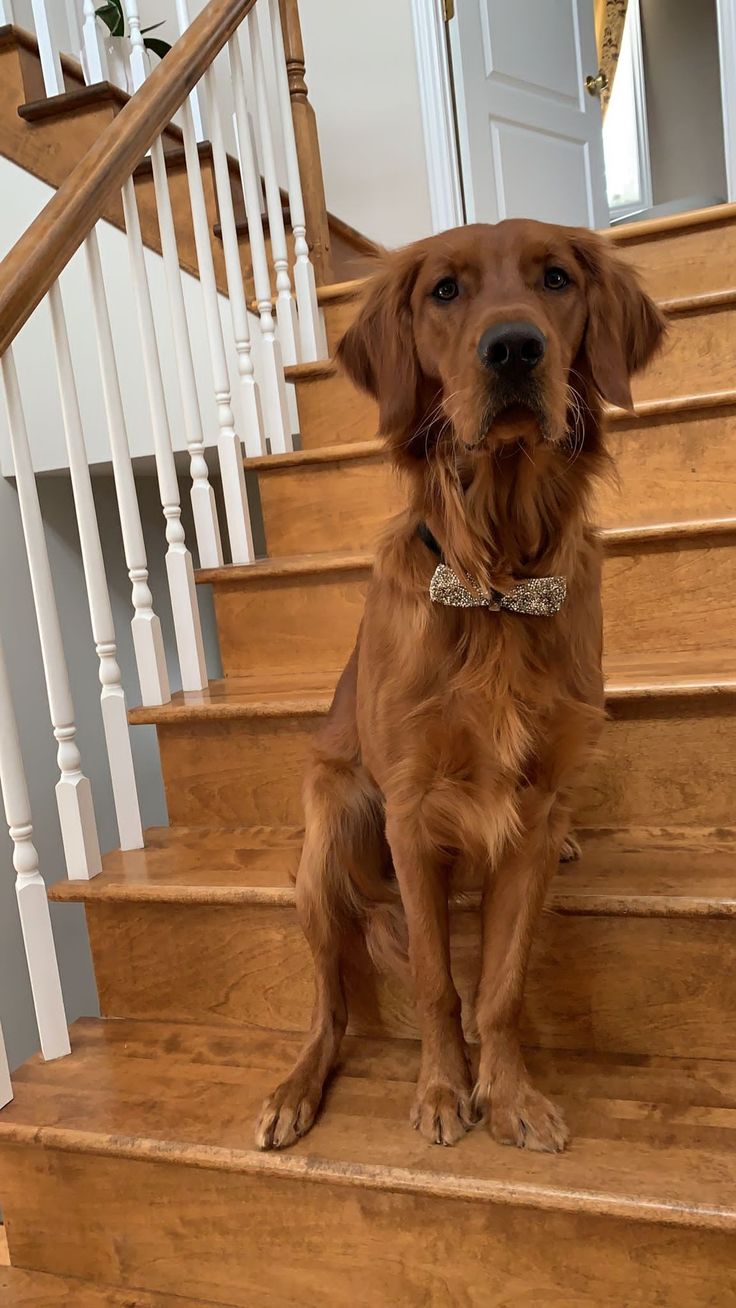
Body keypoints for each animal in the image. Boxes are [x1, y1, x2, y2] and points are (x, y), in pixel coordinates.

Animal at [256, 219, 664, 1151]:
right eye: (445, 290)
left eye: (556, 279)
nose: (513, 347)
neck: (498, 580)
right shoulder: (411, 810)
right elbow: (440, 982)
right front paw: (443, 1092)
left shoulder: (533, 812)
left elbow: (501, 986)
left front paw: (509, 1096)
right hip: (327, 842)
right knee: (328, 1007)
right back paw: (294, 1091)